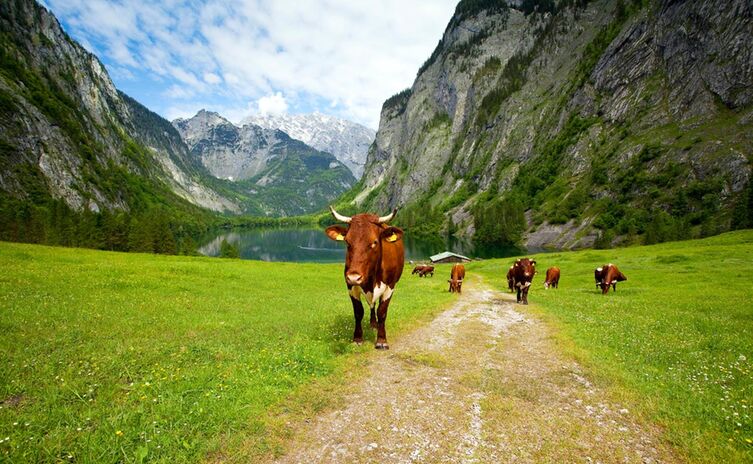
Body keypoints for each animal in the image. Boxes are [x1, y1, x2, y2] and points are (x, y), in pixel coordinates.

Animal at [324, 207, 406, 348]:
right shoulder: (351, 287)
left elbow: (382, 312)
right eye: (347, 242)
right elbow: (358, 312)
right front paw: (357, 338)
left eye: (374, 242)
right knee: (372, 304)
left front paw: (381, 340)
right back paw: (373, 323)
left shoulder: (390, 286)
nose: (353, 277)